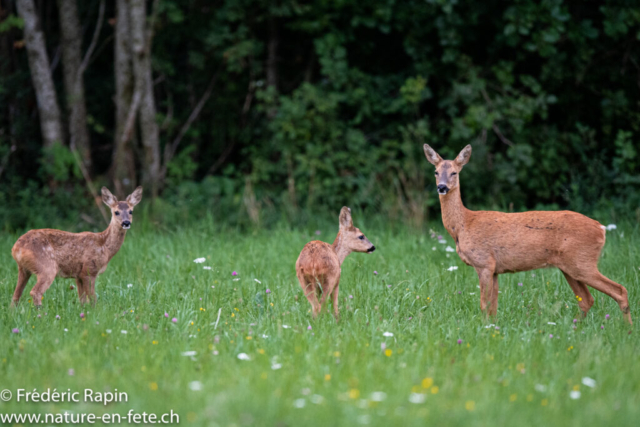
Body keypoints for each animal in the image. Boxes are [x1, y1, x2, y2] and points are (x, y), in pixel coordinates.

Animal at [11, 187, 142, 308]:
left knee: (16, 295)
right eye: (116, 212)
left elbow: (82, 299)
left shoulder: (78, 275)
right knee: (35, 292)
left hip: (23, 269)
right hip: (47, 267)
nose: (126, 223)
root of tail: (16, 248)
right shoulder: (89, 270)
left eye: (131, 211)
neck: (104, 246)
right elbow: (92, 297)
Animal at [424, 145, 632, 324]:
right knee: (587, 300)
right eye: (436, 172)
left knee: (619, 290)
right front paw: (492, 328)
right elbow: (493, 307)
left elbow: (484, 305)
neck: (463, 225)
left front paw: (482, 328)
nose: (441, 187)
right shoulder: (495, 269)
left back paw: (627, 329)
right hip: (570, 266)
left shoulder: (484, 263)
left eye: (454, 172)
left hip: (582, 261)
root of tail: (601, 228)